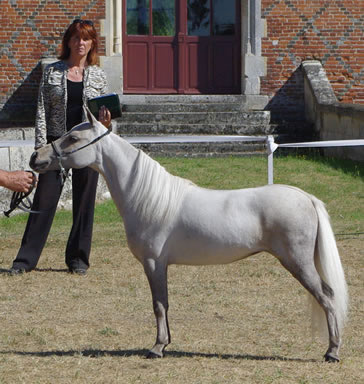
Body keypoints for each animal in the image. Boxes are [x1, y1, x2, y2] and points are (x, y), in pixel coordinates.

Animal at [29, 109, 348, 362]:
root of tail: (305, 196)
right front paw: (165, 343)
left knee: (327, 297)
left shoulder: (154, 263)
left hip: (298, 263)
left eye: (73, 138)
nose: (35, 157)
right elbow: (163, 304)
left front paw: (157, 348)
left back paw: (332, 352)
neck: (147, 196)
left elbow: (159, 305)